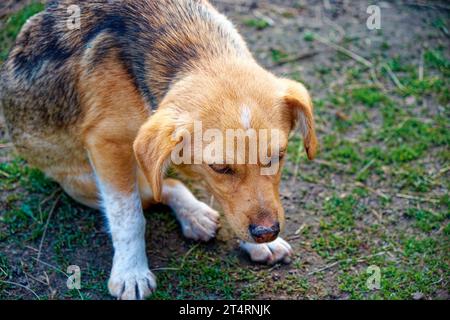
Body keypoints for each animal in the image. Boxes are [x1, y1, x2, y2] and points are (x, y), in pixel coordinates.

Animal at [0, 0, 316, 300]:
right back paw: (192, 214)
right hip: (84, 182)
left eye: (278, 156)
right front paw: (131, 273)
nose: (266, 233)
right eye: (220, 167)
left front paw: (260, 245)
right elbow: (128, 218)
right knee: (158, 190)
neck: (196, 49)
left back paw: (196, 216)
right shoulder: (108, 145)